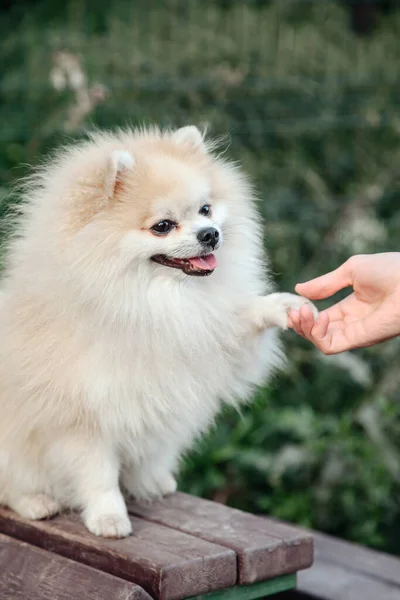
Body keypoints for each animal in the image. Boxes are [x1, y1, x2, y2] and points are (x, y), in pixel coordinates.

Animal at [0, 126, 318, 540]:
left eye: (205, 209)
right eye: (163, 226)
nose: (210, 234)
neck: (154, 302)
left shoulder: (209, 349)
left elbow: (241, 322)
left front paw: (281, 307)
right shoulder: (82, 417)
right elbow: (98, 474)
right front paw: (109, 517)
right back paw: (35, 502)